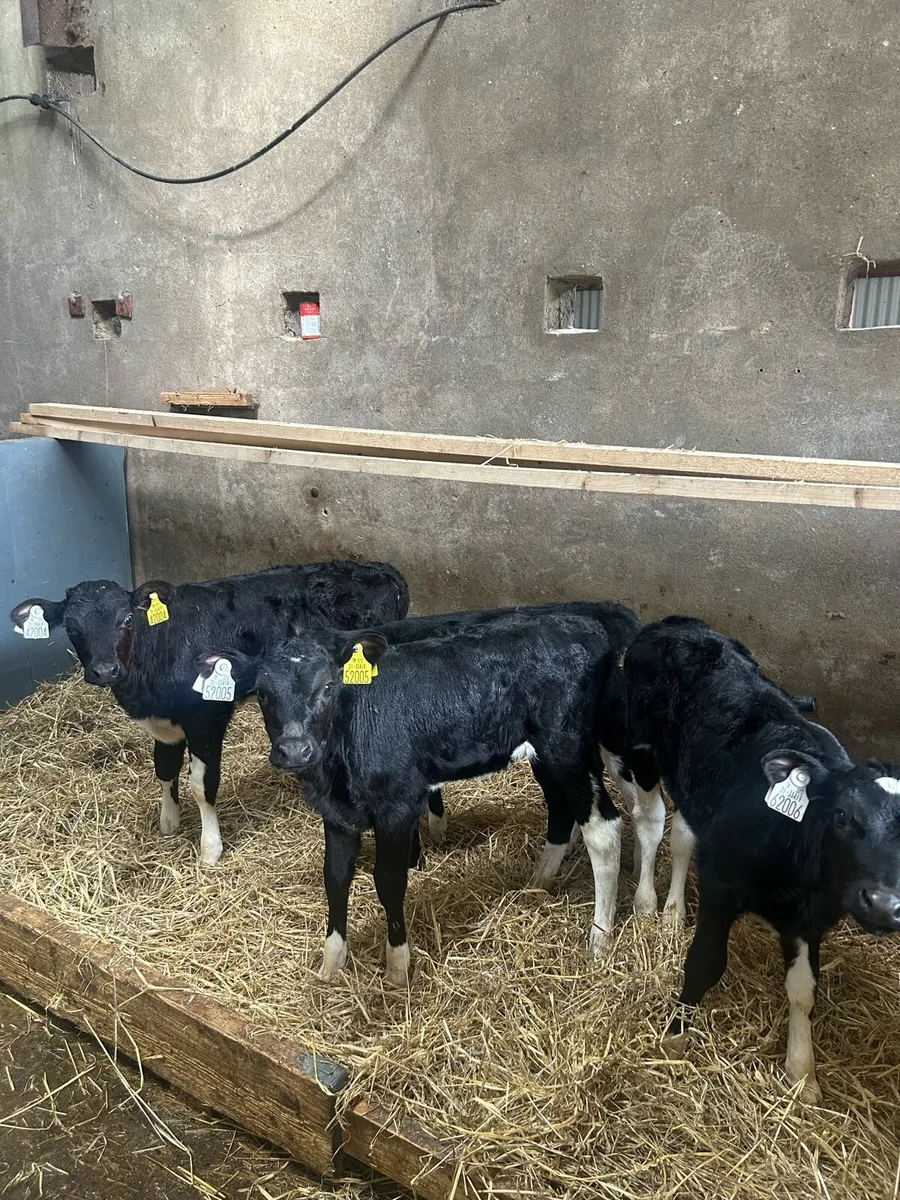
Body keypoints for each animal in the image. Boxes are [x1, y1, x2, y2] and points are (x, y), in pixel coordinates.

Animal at [10, 561, 409, 866]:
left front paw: (210, 849)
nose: (105, 670)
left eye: (126, 620)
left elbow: (202, 785)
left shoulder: (206, 718)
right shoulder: (164, 724)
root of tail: (380, 567)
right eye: (72, 628)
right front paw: (169, 822)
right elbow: (164, 769)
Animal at [196, 606, 639, 986]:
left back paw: (599, 937)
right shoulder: (337, 814)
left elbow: (388, 880)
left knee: (603, 828)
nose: (293, 750)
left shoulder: (398, 804)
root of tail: (585, 624)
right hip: (544, 754)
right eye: (261, 693)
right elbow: (335, 878)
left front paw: (396, 967)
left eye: (328, 685)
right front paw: (331, 965)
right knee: (561, 810)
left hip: (567, 747)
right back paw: (538, 881)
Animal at [622, 615, 900, 1100]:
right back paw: (647, 904)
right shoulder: (721, 886)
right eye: (841, 816)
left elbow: (804, 990)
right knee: (651, 822)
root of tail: (678, 623)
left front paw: (803, 1074)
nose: (884, 904)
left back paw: (673, 911)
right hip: (643, 754)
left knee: (684, 837)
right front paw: (675, 1034)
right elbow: (705, 962)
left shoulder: (810, 920)